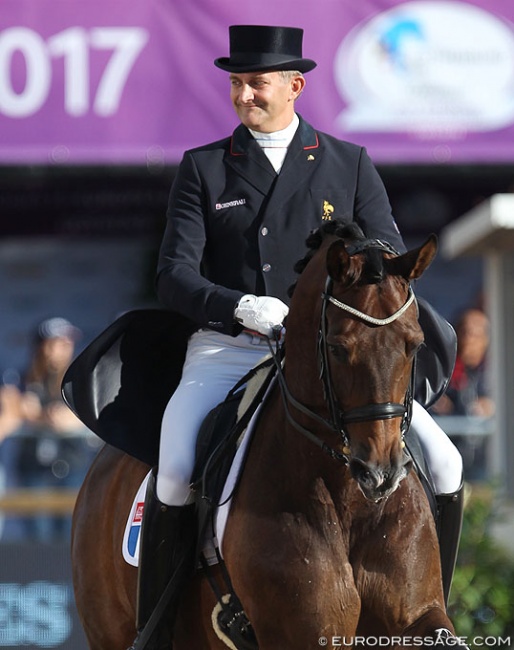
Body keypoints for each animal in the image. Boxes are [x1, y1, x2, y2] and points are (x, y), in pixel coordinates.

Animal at [71, 221, 460, 644]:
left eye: (415, 345)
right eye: (338, 348)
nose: (380, 475)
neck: (348, 502)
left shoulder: (417, 617)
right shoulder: (305, 632)